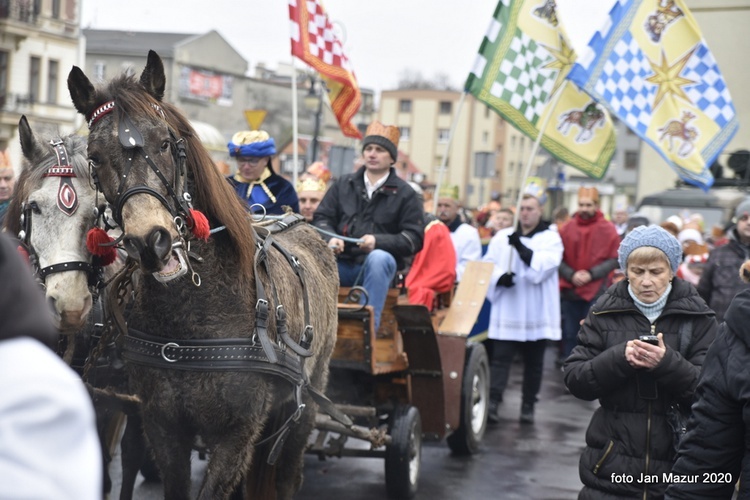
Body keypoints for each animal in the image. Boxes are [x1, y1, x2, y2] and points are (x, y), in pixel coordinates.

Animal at [67, 51, 338, 500]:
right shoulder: (162, 425)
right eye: (95, 157)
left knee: (288, 472)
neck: (193, 317)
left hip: (306, 405)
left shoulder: (237, 433)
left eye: (164, 142)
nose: (150, 242)